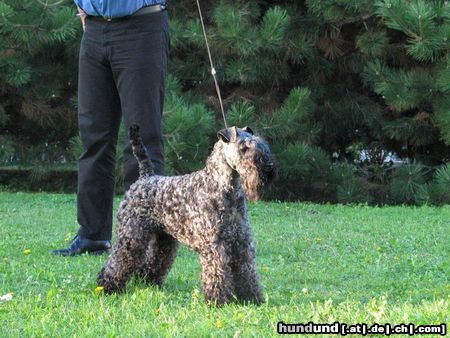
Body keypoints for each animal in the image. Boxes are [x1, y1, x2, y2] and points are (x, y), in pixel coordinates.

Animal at [96, 125, 276, 306]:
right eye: (244, 148)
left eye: (262, 144)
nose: (269, 167)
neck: (221, 186)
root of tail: (145, 177)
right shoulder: (215, 246)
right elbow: (217, 273)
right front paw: (216, 302)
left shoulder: (242, 242)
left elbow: (247, 272)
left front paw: (252, 299)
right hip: (132, 237)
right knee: (118, 262)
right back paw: (107, 287)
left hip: (164, 240)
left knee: (154, 262)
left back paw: (149, 283)